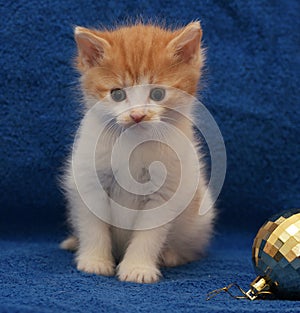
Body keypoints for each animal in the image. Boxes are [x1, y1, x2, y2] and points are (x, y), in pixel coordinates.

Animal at [60, 20, 216, 282]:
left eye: (157, 94)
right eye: (117, 94)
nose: (137, 115)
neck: (133, 141)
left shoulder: (167, 192)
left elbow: (149, 235)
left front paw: (138, 268)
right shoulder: (88, 180)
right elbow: (93, 225)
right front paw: (95, 261)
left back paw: (173, 255)